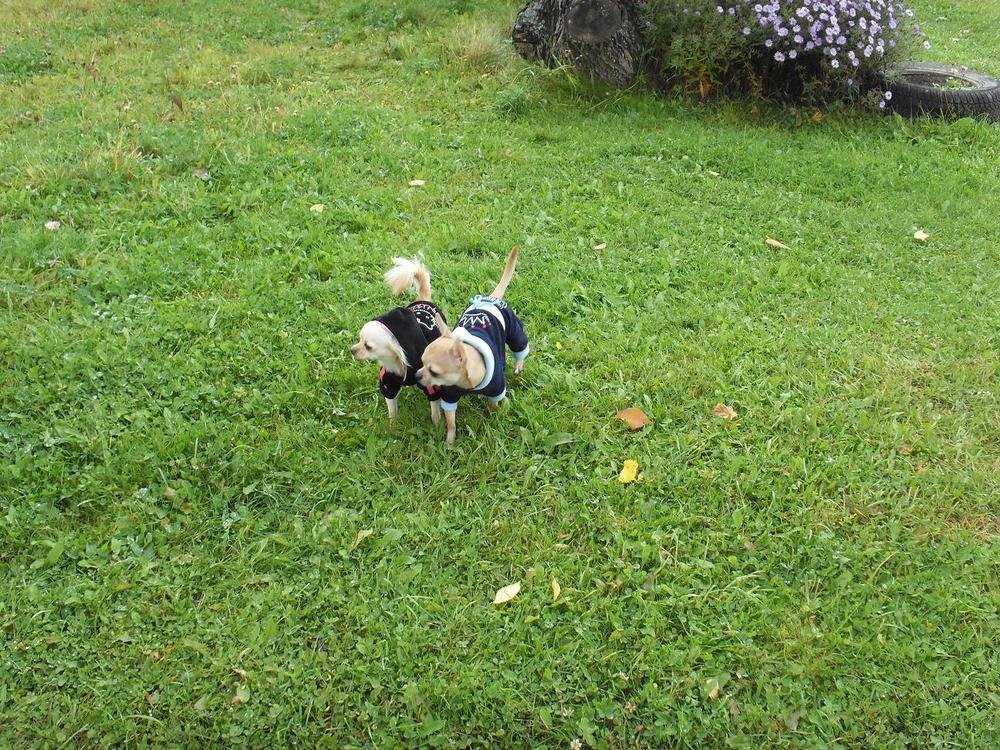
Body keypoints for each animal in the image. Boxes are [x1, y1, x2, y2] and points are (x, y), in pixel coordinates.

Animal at [350, 257, 448, 424]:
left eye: (368, 346)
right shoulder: (388, 382)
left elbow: (434, 409)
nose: (352, 350)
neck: (397, 362)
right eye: (359, 339)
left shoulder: (431, 385)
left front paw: (436, 425)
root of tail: (423, 300)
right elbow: (392, 409)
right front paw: (393, 425)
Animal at [416, 246, 528, 443]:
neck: (466, 383)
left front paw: (493, 416)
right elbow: (451, 422)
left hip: (514, 331)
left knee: (520, 348)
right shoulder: (450, 395)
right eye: (421, 362)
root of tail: (490, 298)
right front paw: (450, 441)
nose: (416, 376)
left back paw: (518, 365)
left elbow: (493, 404)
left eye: (434, 372)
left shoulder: (497, 389)